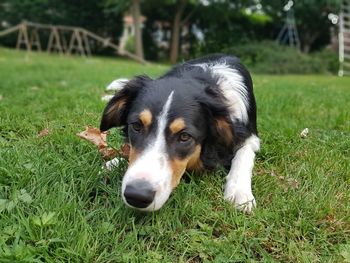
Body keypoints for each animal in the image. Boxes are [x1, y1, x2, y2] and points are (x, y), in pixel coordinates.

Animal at [100, 54, 258, 213]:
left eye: (184, 136)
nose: (137, 195)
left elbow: (244, 154)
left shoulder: (250, 136)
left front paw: (239, 191)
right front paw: (113, 163)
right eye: (137, 126)